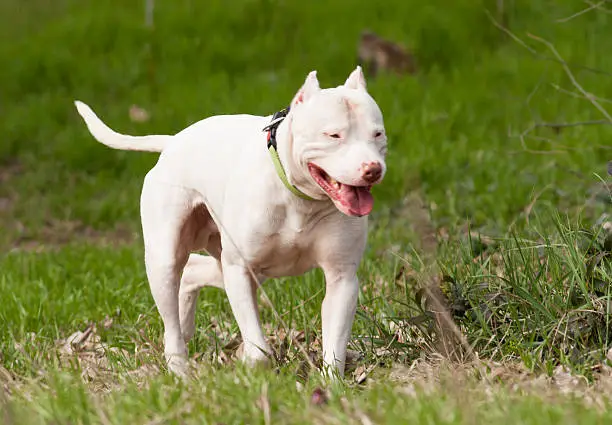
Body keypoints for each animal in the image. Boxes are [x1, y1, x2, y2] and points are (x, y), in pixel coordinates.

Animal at [73, 67, 388, 378]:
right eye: (334, 135)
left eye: (377, 134)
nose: (373, 169)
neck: (299, 198)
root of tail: (173, 141)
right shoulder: (239, 268)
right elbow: (259, 349)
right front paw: (252, 366)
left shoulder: (342, 278)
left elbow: (334, 346)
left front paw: (333, 385)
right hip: (166, 257)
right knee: (172, 308)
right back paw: (179, 369)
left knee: (192, 273)